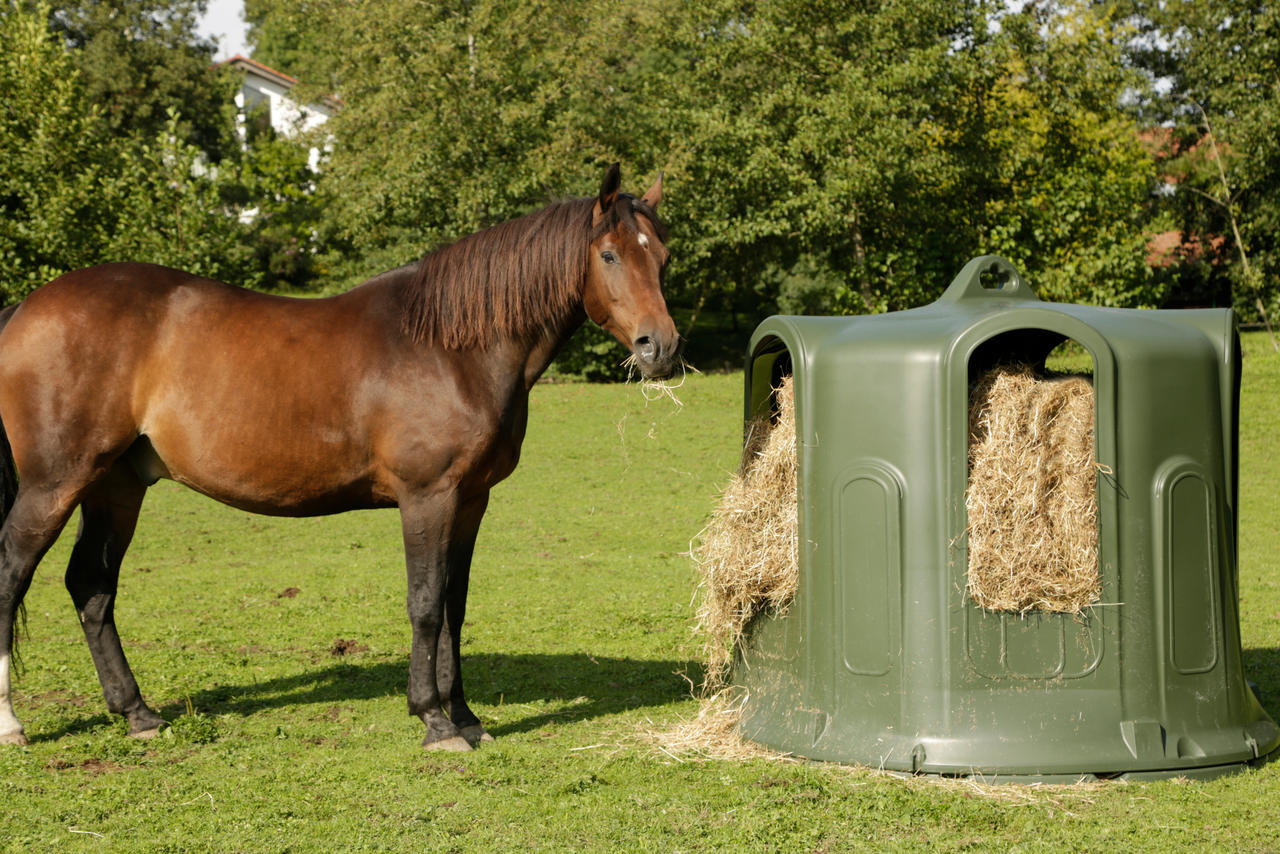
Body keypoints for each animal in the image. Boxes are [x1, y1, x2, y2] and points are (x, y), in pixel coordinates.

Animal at [0, 163, 680, 752]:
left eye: (663, 258)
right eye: (609, 254)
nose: (662, 348)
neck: (452, 347)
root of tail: (25, 309)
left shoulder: (471, 500)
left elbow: (455, 605)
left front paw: (466, 717)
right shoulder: (427, 497)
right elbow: (426, 604)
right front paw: (434, 722)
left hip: (115, 486)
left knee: (91, 586)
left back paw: (138, 714)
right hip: (56, 483)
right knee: (13, 573)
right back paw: (13, 725)